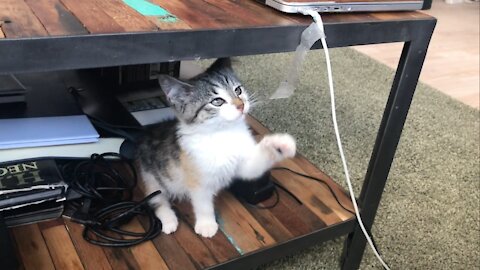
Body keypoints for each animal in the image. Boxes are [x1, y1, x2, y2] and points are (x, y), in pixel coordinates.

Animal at [136, 58, 296, 237]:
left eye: (238, 90)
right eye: (217, 101)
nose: (241, 105)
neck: (223, 133)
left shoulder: (244, 164)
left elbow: (253, 168)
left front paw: (281, 143)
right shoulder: (198, 179)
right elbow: (203, 204)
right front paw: (206, 225)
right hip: (151, 177)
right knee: (157, 199)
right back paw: (169, 221)